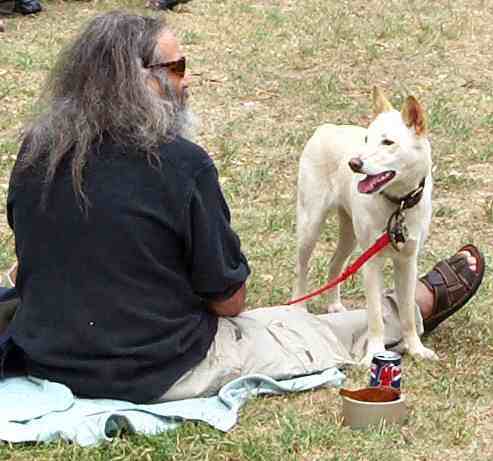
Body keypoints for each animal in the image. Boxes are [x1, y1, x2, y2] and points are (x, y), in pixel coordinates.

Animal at [292, 88, 434, 364]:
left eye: (388, 142)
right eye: (367, 139)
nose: (354, 164)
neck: (397, 204)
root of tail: (327, 128)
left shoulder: (408, 262)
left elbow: (408, 314)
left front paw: (416, 348)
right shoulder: (372, 263)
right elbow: (375, 316)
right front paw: (375, 353)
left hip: (350, 236)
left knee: (335, 264)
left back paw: (334, 305)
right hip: (310, 226)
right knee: (302, 268)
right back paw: (298, 307)